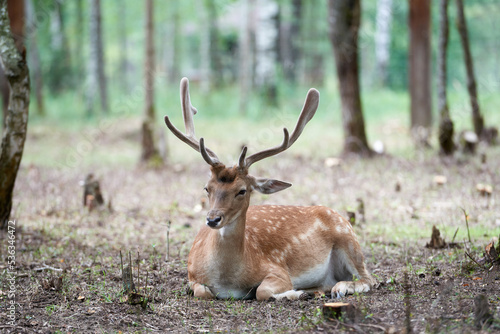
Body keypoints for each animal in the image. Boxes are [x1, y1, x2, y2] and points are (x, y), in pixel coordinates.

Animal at [165, 77, 376, 300]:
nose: (213, 219)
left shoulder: (278, 270)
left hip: (348, 238)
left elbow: (261, 291)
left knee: (368, 278)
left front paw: (297, 293)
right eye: (207, 188)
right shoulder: (192, 275)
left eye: (242, 190)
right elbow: (202, 292)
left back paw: (339, 288)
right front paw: (302, 292)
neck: (227, 281)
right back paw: (319, 290)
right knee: (333, 281)